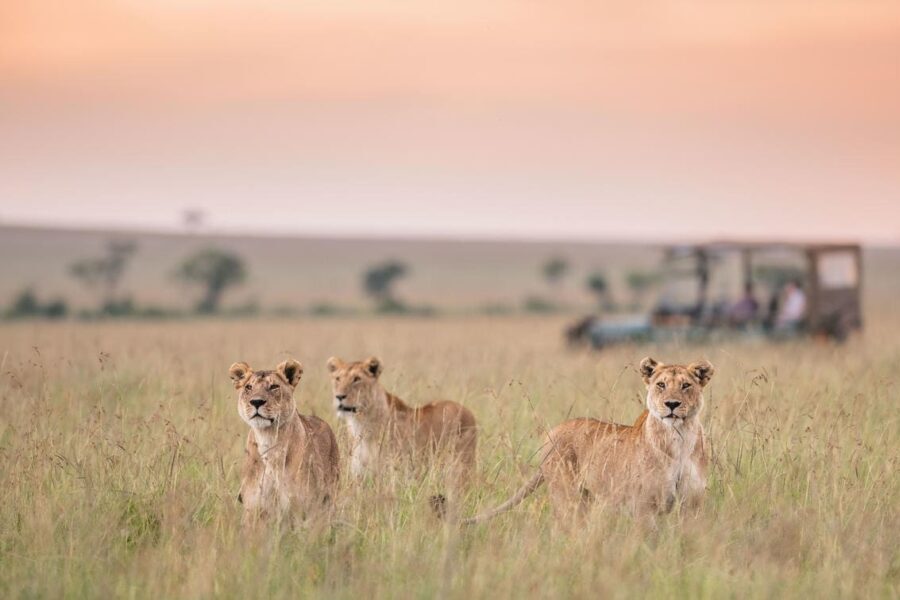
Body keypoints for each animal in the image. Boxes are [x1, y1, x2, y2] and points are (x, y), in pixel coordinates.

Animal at [229, 359, 340, 527]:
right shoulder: (253, 510)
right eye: (249, 387)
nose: (256, 401)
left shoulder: (304, 509)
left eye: (274, 386)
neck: (268, 439)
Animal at [326, 356, 477, 495]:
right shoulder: (360, 476)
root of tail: (468, 411)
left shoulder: (395, 475)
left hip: (461, 467)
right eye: (338, 378)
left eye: (357, 379)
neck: (361, 424)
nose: (339, 396)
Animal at [461, 357, 714, 524]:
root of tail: (553, 432)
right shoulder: (645, 507)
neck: (679, 438)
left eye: (686, 385)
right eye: (661, 385)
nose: (672, 404)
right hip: (568, 498)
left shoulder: (692, 505)